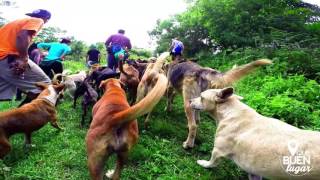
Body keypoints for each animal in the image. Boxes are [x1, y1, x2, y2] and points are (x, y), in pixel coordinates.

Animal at [190, 86, 320, 179]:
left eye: (201, 96)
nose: (190, 99)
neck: (230, 111)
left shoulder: (218, 150)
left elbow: (212, 162)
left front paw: (203, 163)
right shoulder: (254, 170)